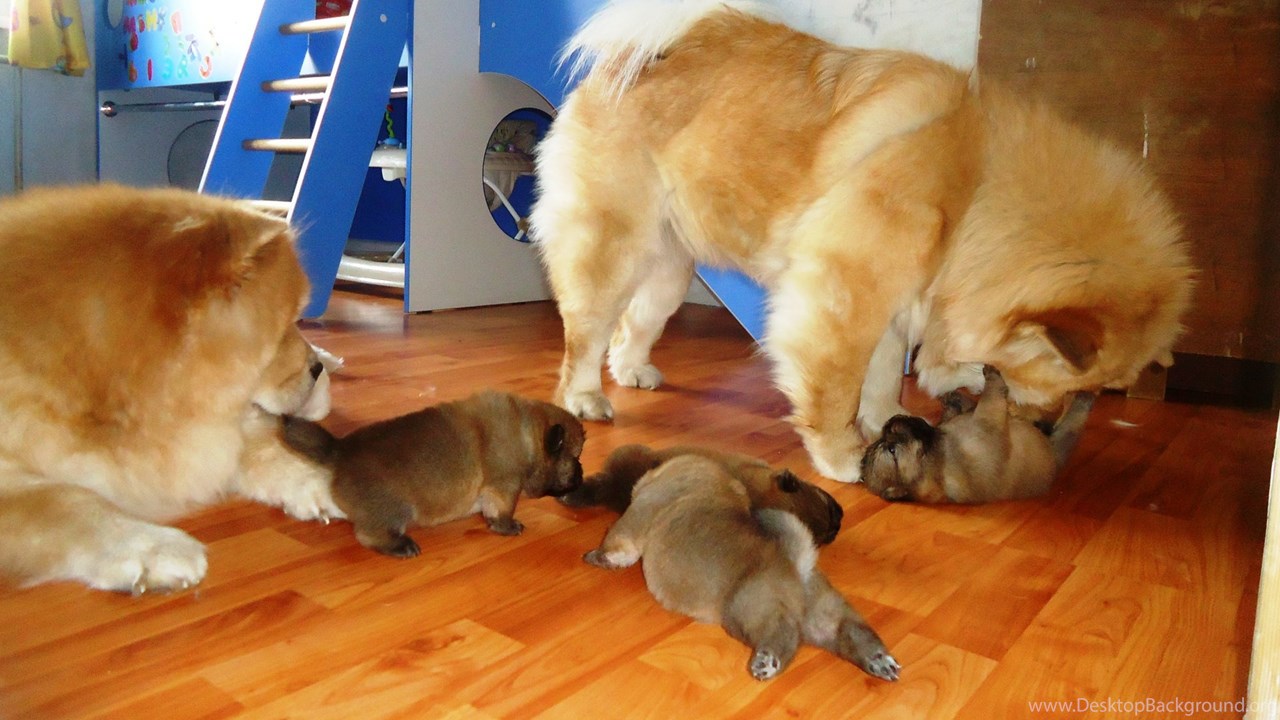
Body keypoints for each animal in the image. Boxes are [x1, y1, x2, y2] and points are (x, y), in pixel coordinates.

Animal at [0, 184, 339, 594]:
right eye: (286, 326)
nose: (317, 367)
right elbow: (65, 499)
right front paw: (149, 545)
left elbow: (252, 450)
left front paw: (319, 480)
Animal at [281, 391, 586, 557]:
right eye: (574, 457)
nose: (582, 474)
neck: (527, 436)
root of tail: (339, 450)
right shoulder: (505, 486)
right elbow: (502, 511)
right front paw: (508, 527)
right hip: (397, 509)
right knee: (369, 535)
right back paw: (401, 546)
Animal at [531, 0, 1195, 483]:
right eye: (1062, 387)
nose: (1045, 425)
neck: (974, 193)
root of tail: (625, 62)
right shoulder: (846, 290)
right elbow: (834, 387)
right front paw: (846, 457)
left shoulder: (895, 301)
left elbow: (880, 380)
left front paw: (888, 424)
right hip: (611, 252)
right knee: (582, 339)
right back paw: (587, 399)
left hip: (668, 271)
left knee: (631, 327)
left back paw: (635, 371)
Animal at [584, 454, 898, 681]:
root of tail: (797, 563)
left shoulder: (637, 516)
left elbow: (618, 544)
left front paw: (597, 557)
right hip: (825, 614)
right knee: (854, 632)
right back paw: (880, 662)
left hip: (747, 608)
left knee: (784, 633)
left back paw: (767, 662)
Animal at [861, 367, 1095, 503]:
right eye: (891, 450)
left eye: (883, 440)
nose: (890, 424)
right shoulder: (988, 420)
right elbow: (991, 397)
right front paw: (991, 374)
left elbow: (962, 408)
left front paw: (951, 396)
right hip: (1062, 440)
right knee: (1072, 421)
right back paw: (1086, 395)